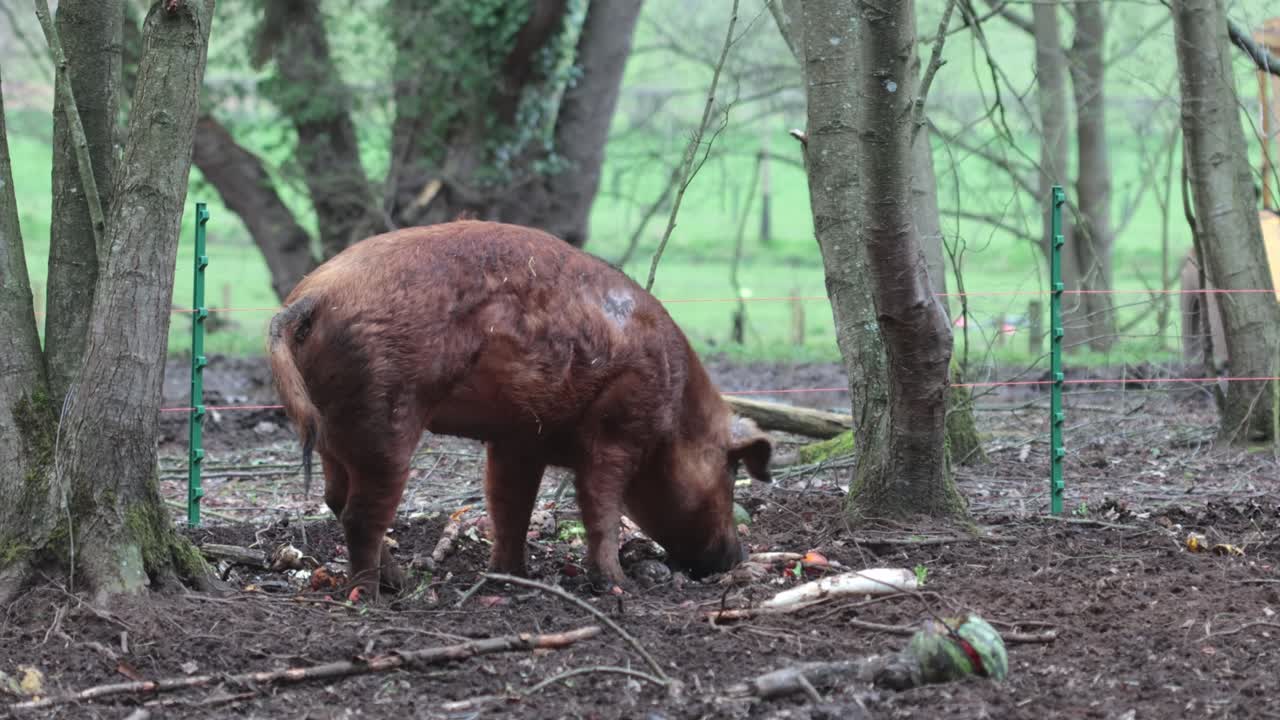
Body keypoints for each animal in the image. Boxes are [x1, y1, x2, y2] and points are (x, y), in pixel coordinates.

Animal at [268, 221, 773, 598]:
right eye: (730, 473)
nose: (737, 557)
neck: (676, 416)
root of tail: (310, 298)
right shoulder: (620, 425)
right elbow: (600, 505)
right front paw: (618, 585)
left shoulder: (519, 440)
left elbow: (510, 504)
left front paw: (513, 577)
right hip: (385, 416)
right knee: (360, 515)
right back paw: (374, 596)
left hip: (336, 430)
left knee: (336, 498)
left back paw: (400, 582)